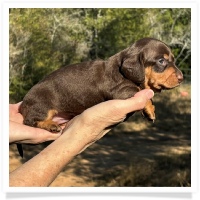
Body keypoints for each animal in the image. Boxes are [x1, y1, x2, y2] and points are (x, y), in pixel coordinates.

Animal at [19, 38, 184, 134]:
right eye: (161, 61)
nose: (182, 78)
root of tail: (24, 103)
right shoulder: (120, 91)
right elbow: (139, 90)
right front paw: (149, 110)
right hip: (43, 107)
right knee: (29, 121)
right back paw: (50, 125)